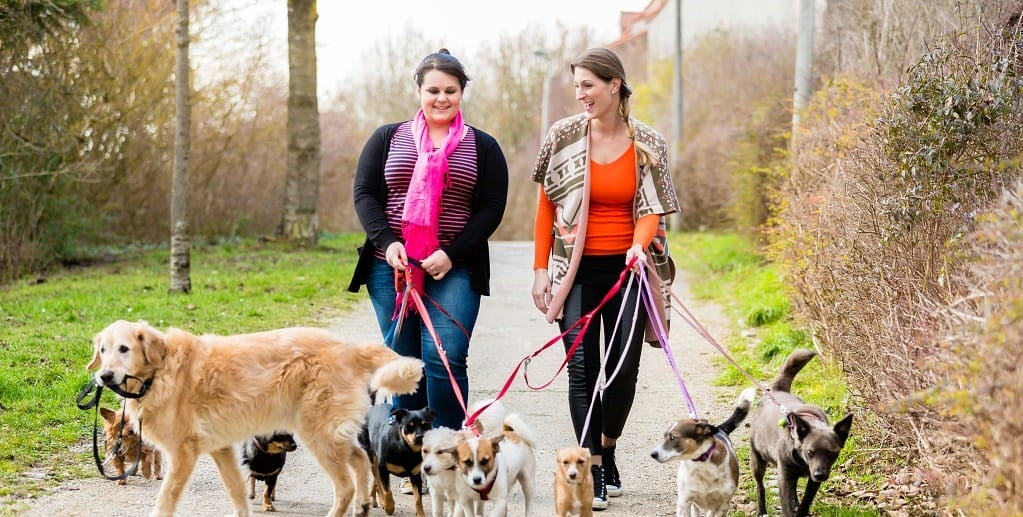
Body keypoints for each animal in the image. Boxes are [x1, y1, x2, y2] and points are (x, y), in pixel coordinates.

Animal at [86, 321, 423, 513]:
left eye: (124, 349)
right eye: (103, 350)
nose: (104, 376)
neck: (161, 370)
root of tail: (352, 349)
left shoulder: (183, 455)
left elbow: (164, 502)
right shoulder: (222, 450)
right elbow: (238, 494)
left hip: (317, 436)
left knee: (345, 485)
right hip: (330, 436)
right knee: (360, 459)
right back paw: (364, 504)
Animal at [650, 386, 757, 515]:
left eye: (673, 438)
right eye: (664, 436)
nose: (653, 454)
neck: (701, 465)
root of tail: (719, 429)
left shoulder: (723, 505)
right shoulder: (684, 501)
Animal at [744, 346, 855, 515]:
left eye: (832, 453)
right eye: (810, 452)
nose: (819, 474)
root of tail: (775, 391)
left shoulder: (813, 481)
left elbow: (806, 500)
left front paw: (801, 509)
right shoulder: (784, 478)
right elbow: (787, 506)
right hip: (757, 461)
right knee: (760, 487)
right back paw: (761, 510)